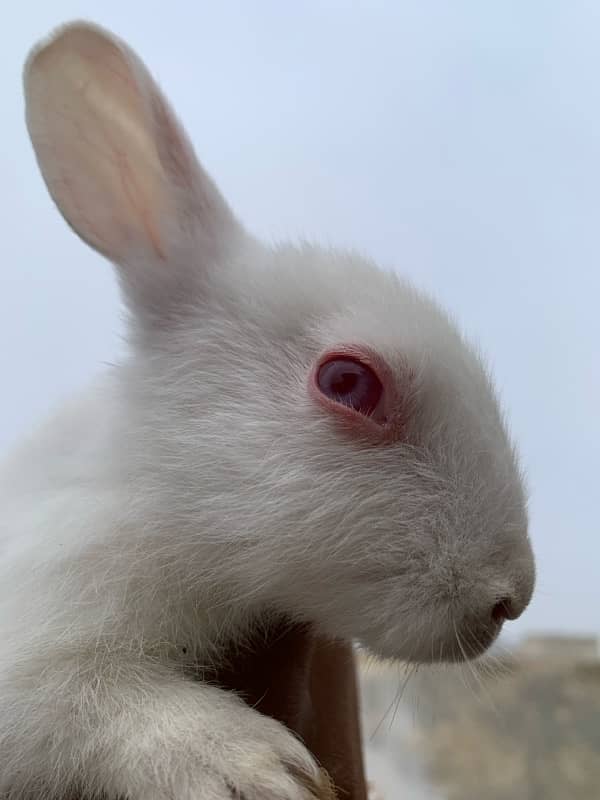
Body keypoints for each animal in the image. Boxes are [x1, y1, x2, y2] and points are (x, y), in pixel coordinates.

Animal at [0, 18, 536, 800]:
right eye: (348, 381)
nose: (513, 597)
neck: (150, 487)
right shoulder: (40, 640)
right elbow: (93, 702)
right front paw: (250, 764)